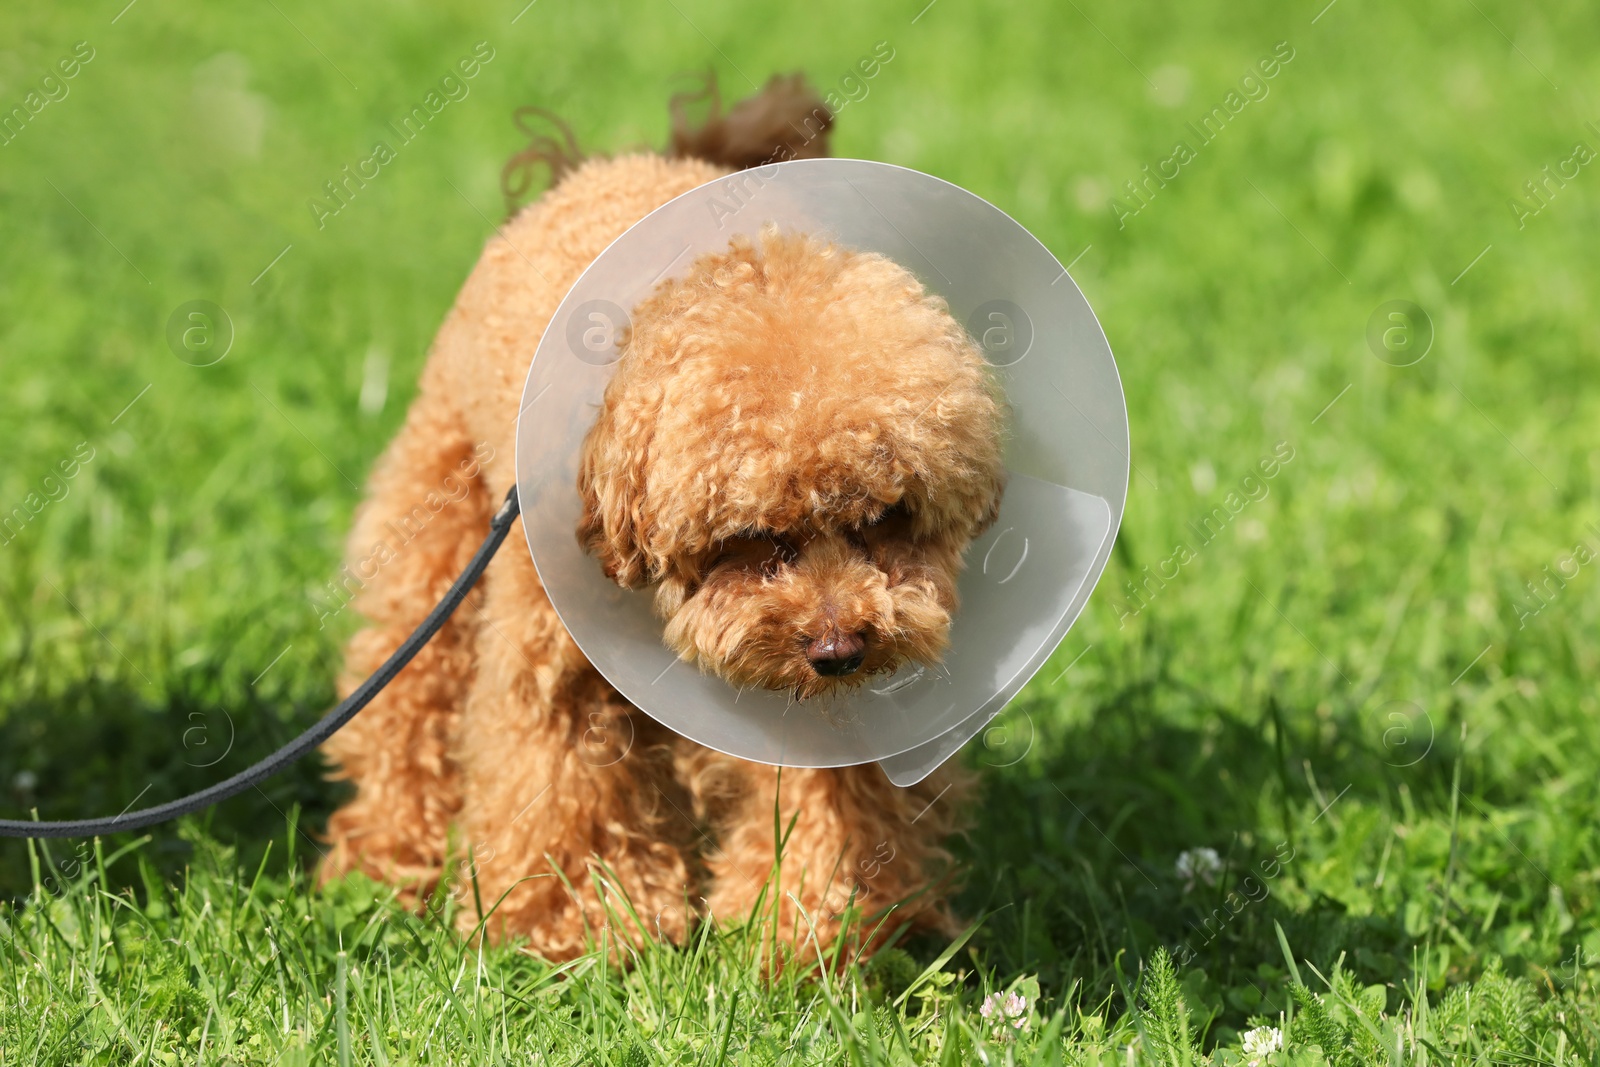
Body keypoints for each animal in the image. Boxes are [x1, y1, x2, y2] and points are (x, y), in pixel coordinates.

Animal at [318, 75, 1004, 959]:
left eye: (885, 516)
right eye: (751, 536)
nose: (839, 650)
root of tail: (594, 165)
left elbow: (828, 804)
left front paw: (808, 933)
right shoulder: (560, 664)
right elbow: (562, 781)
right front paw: (577, 927)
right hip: (441, 516)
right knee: (409, 693)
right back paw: (389, 857)